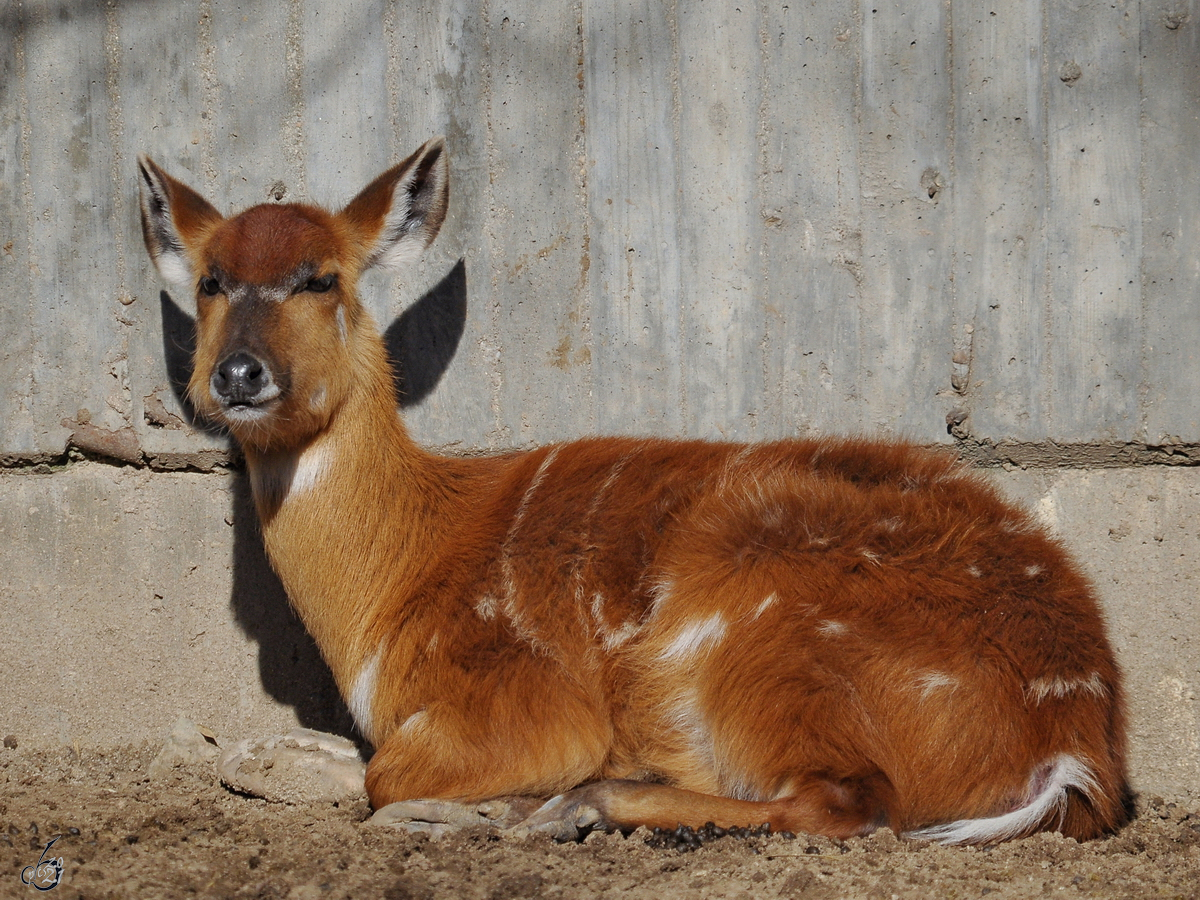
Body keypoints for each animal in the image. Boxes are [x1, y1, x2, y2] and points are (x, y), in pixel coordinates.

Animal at [140, 135, 1123, 844]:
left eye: (322, 278)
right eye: (212, 280)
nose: (238, 373)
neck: (393, 586)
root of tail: (1071, 742)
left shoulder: (531, 700)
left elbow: (385, 773)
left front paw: (472, 807)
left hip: (744, 636)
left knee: (848, 802)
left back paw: (573, 808)